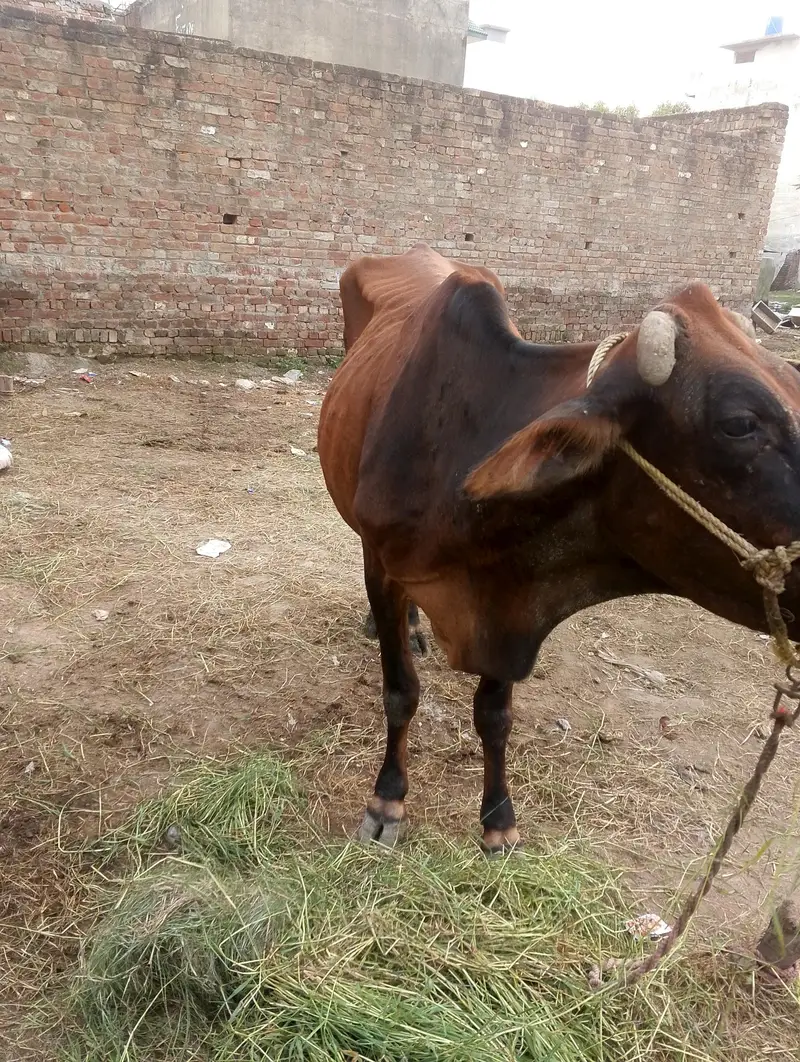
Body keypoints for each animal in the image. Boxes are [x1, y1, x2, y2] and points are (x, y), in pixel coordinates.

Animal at [317, 243, 800, 854]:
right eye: (740, 423)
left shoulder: (511, 590)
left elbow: (495, 714)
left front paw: (498, 821)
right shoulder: (388, 569)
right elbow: (401, 692)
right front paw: (387, 800)